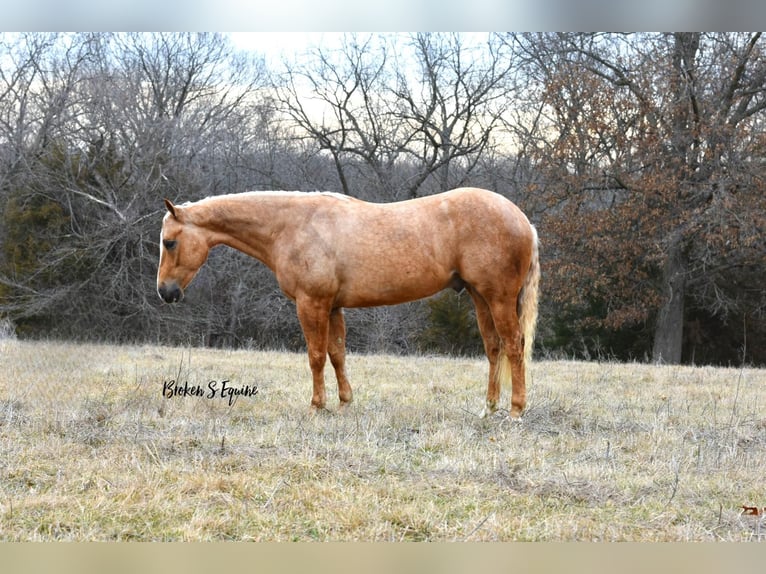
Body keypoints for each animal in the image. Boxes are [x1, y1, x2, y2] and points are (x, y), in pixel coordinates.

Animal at [156, 189, 540, 418]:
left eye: (169, 242)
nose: (165, 292)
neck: (292, 226)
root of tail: (523, 219)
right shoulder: (333, 306)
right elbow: (337, 353)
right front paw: (344, 402)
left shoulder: (311, 304)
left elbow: (315, 356)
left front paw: (316, 406)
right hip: (479, 296)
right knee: (494, 347)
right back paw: (489, 408)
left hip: (498, 297)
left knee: (514, 345)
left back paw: (516, 410)